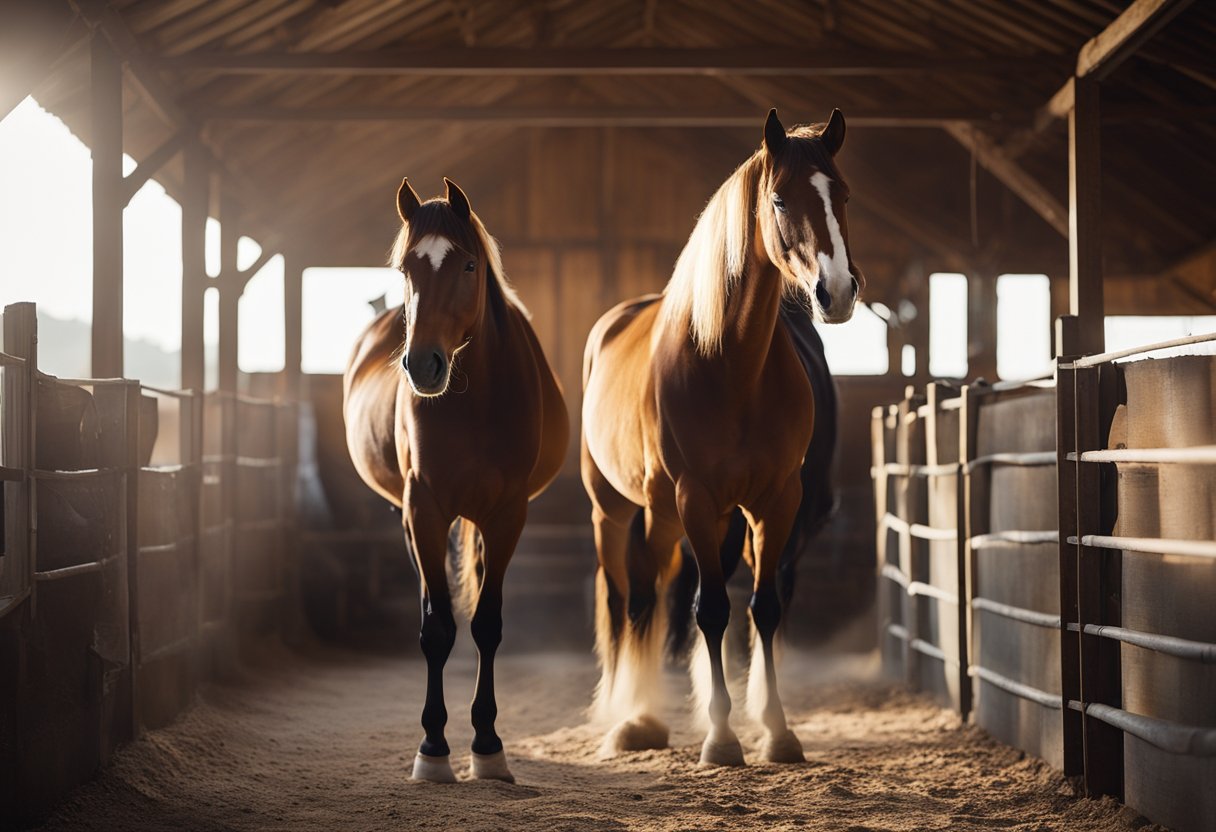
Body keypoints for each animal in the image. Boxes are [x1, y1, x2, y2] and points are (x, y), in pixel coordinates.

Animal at [343, 177, 569, 783]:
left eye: (469, 265)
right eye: (406, 269)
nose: (423, 365)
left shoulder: (507, 515)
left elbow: (486, 626)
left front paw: (488, 746)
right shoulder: (425, 510)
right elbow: (436, 629)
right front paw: (433, 747)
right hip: (413, 519)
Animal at [580, 109, 862, 766]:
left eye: (842, 195)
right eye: (780, 199)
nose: (837, 292)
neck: (729, 367)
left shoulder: (776, 503)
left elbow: (763, 608)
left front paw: (778, 732)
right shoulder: (697, 499)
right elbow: (709, 609)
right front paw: (720, 738)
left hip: (677, 514)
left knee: (656, 589)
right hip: (618, 510)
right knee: (628, 598)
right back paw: (632, 719)